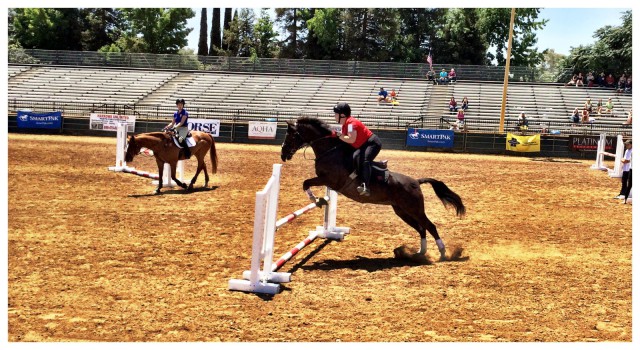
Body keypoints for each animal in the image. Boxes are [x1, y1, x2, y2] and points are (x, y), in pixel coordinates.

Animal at [280, 117, 464, 260]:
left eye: (290, 135)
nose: (283, 155)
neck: (330, 151)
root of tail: (416, 182)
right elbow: (307, 184)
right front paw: (320, 200)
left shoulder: (329, 180)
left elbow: (306, 183)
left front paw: (317, 200)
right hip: (402, 211)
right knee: (421, 228)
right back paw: (419, 253)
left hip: (414, 209)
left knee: (430, 226)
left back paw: (442, 253)